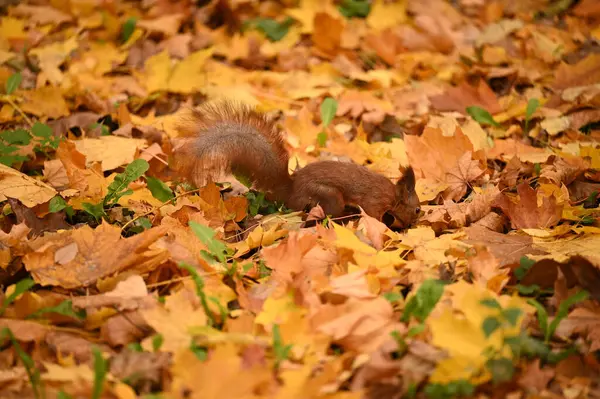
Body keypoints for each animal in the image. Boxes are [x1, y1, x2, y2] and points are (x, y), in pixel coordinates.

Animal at [171, 101, 420, 228]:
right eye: (417, 209)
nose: (415, 225)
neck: (393, 195)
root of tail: (290, 191)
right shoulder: (374, 202)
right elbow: (373, 215)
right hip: (328, 196)